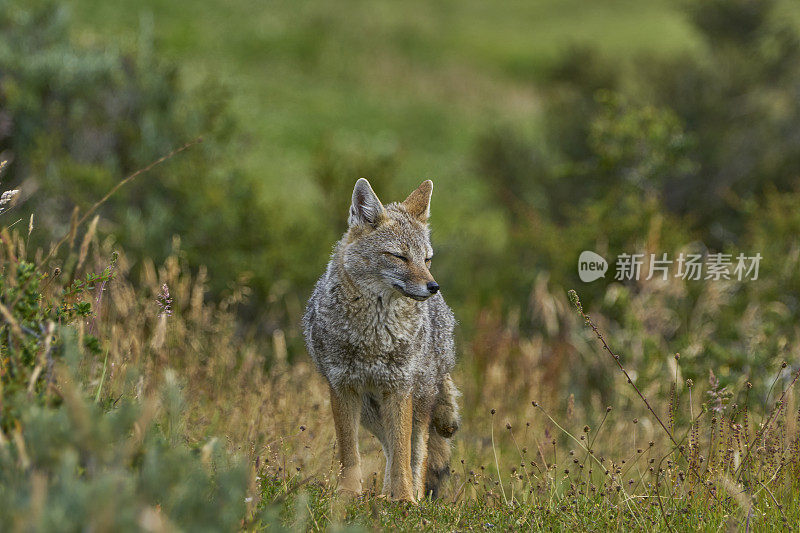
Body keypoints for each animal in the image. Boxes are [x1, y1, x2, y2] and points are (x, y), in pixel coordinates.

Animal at [302, 180, 462, 502]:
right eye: (400, 257)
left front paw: (404, 499)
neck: (373, 337)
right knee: (388, 447)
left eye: (426, 259)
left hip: (419, 399)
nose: (433, 286)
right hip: (369, 410)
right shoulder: (343, 389)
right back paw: (383, 495)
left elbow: (403, 452)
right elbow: (350, 453)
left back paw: (413, 496)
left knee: (417, 451)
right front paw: (348, 494)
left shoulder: (399, 389)